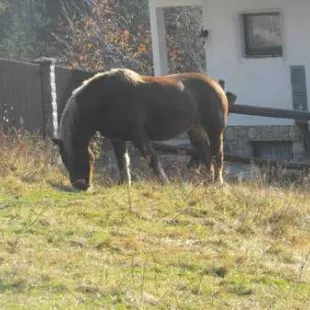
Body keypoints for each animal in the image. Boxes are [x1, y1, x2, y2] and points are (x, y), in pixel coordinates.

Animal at [52, 68, 229, 190]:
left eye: (74, 156)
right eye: (64, 159)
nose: (81, 186)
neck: (104, 98)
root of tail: (216, 84)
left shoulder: (139, 136)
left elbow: (152, 160)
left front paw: (165, 183)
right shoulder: (117, 139)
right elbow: (123, 162)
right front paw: (124, 184)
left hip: (215, 131)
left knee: (217, 156)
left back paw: (217, 183)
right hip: (196, 132)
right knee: (206, 156)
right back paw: (207, 182)